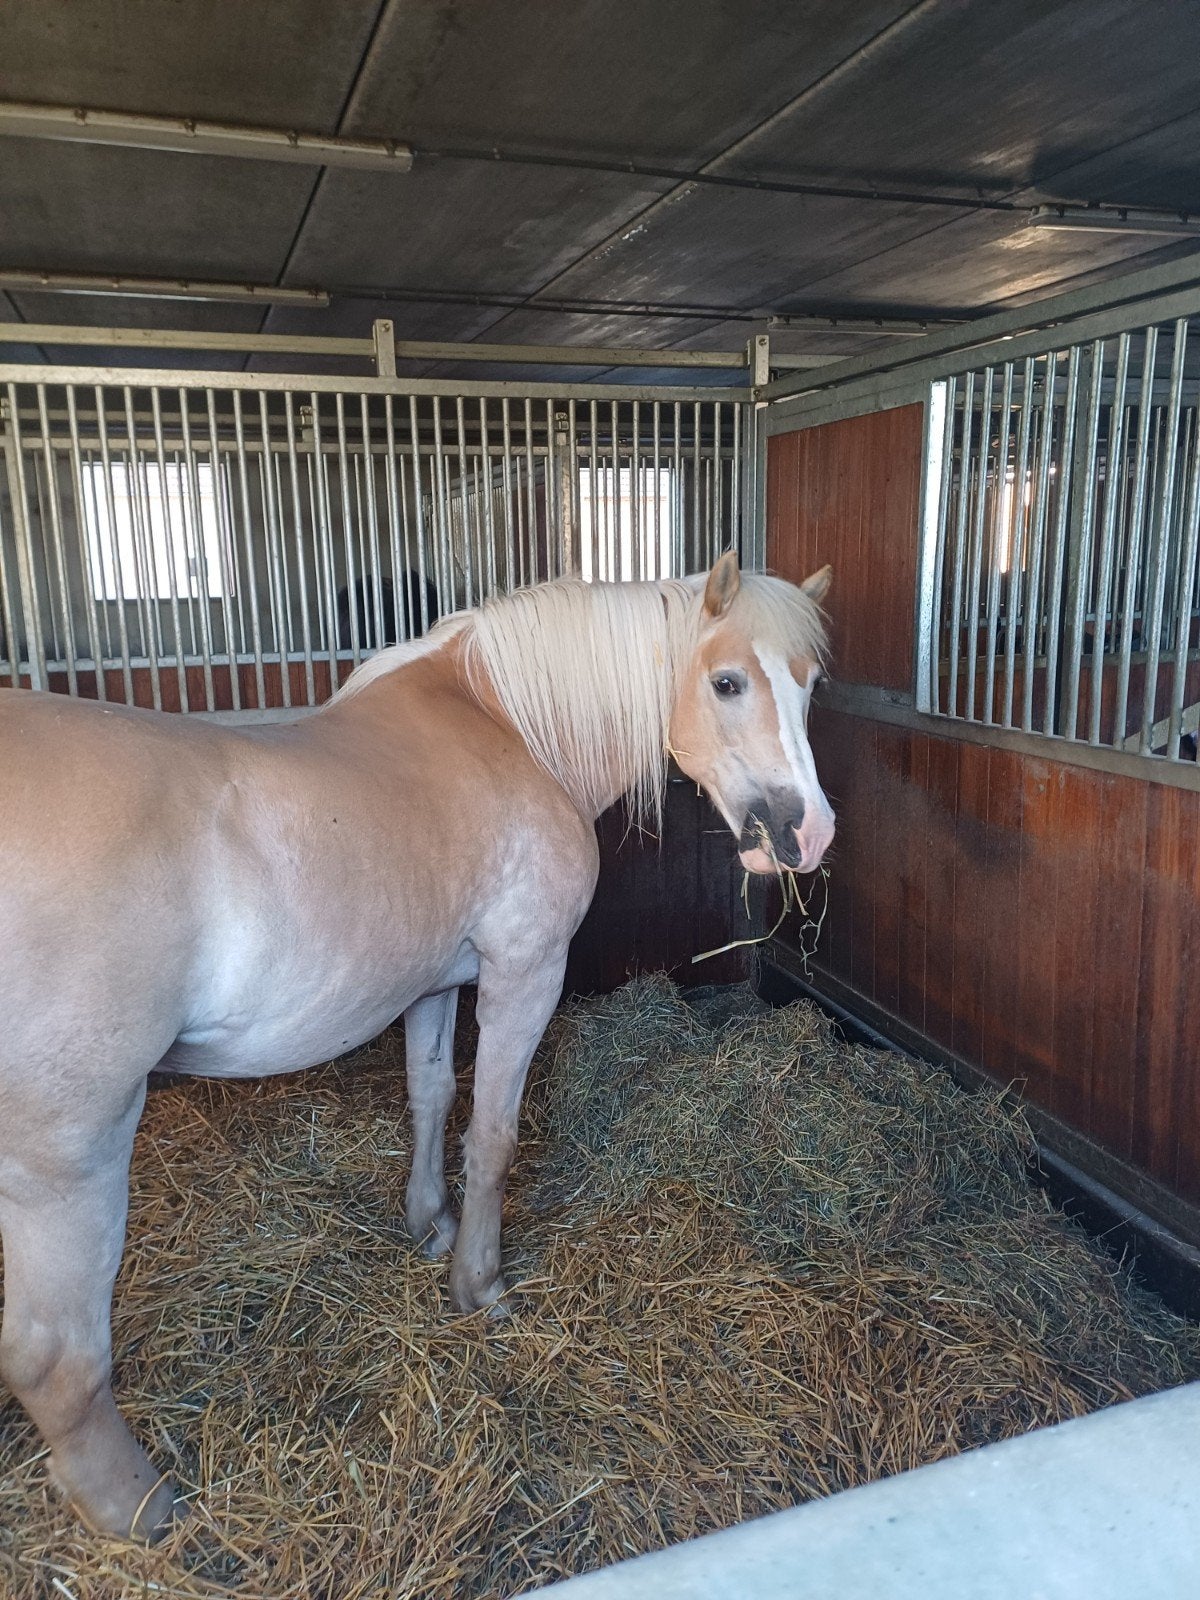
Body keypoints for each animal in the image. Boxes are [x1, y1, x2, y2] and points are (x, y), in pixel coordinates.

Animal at [0, 551, 834, 1541]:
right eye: (728, 682)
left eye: (811, 685)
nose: (808, 833)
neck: (507, 724)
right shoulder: (524, 971)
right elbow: (494, 1135)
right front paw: (480, 1286)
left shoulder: (434, 983)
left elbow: (431, 1097)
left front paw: (429, 1223)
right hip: (68, 1154)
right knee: (53, 1358)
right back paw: (143, 1511)